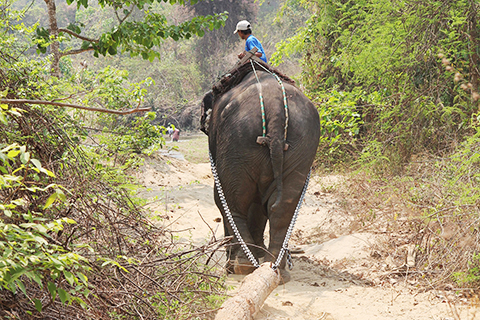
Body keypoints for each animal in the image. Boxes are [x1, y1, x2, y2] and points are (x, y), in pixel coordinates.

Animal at [201, 61, 320, 282]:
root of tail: (275, 108)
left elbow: (222, 197)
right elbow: (258, 206)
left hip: (237, 143)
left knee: (234, 201)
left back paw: (242, 265)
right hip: (302, 145)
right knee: (282, 206)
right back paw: (275, 266)